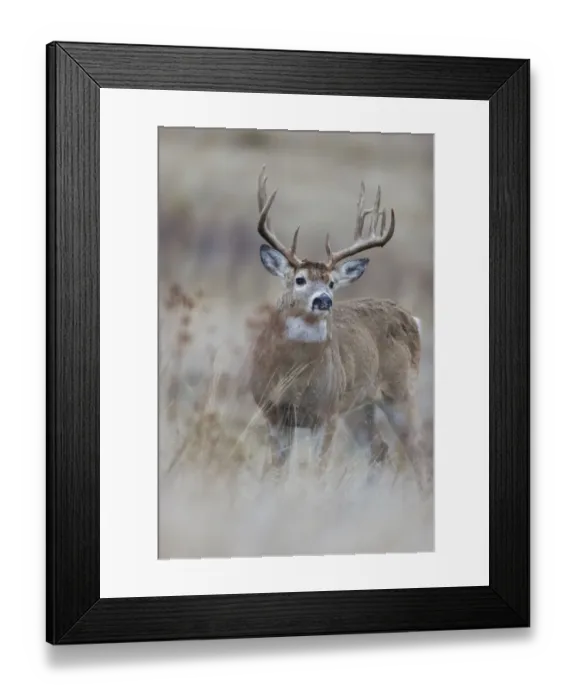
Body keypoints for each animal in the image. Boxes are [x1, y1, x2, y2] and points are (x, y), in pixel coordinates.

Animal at [248, 167, 429, 492]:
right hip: (360, 406)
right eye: (300, 280)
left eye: (332, 283)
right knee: (379, 448)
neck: (293, 377)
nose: (324, 300)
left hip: (400, 391)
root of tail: (412, 318)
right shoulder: (273, 412)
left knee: (418, 452)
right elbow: (279, 470)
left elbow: (318, 470)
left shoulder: (326, 413)